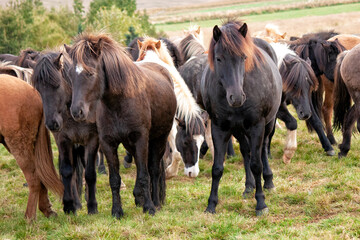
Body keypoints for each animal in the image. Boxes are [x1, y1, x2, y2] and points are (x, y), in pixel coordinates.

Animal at [67, 32, 176, 218]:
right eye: (70, 76)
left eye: (90, 73)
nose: (76, 112)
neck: (119, 103)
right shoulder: (108, 143)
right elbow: (114, 179)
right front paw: (117, 211)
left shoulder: (141, 139)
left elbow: (145, 175)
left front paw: (149, 207)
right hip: (130, 143)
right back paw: (139, 197)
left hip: (159, 139)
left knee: (153, 169)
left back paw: (155, 201)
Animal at [201, 21, 282, 216]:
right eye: (219, 58)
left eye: (244, 57)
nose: (236, 97)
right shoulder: (219, 128)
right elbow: (217, 168)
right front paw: (211, 204)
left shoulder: (256, 126)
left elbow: (257, 164)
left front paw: (261, 203)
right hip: (238, 129)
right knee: (246, 152)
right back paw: (248, 186)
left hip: (268, 124)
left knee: (262, 150)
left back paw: (268, 182)